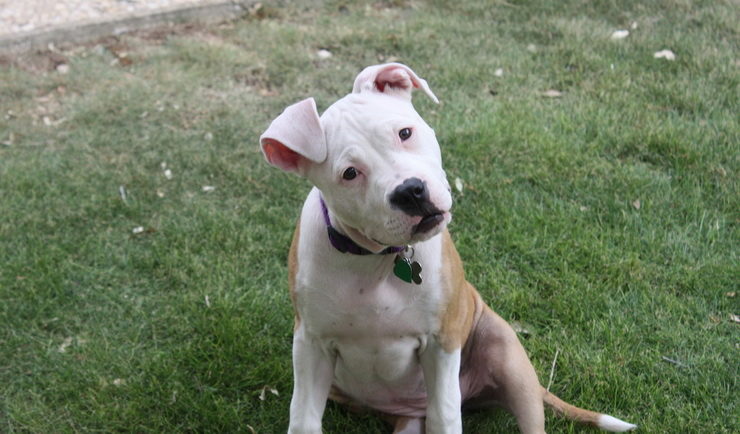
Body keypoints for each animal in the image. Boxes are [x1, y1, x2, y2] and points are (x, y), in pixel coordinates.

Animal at [258, 62, 632, 434]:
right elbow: (304, 418)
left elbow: (446, 413)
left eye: (404, 133)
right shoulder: (311, 346)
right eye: (350, 173)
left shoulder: (441, 342)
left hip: (504, 353)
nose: (410, 191)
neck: (379, 260)